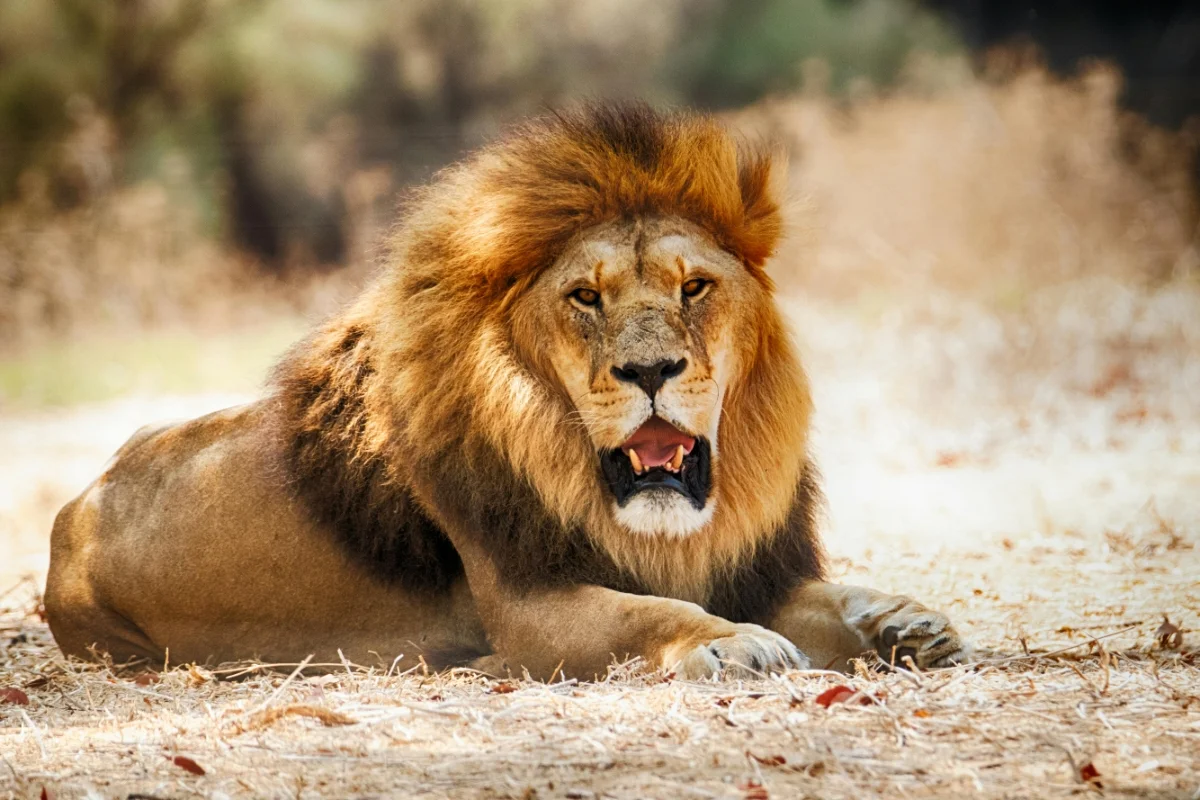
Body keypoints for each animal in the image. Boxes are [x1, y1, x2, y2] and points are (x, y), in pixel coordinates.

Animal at [44, 104, 970, 679]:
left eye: (695, 288)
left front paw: (905, 621)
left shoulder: (750, 565)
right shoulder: (529, 604)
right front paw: (735, 644)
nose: (650, 372)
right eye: (586, 297)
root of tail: (78, 508)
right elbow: (651, 614)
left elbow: (833, 592)